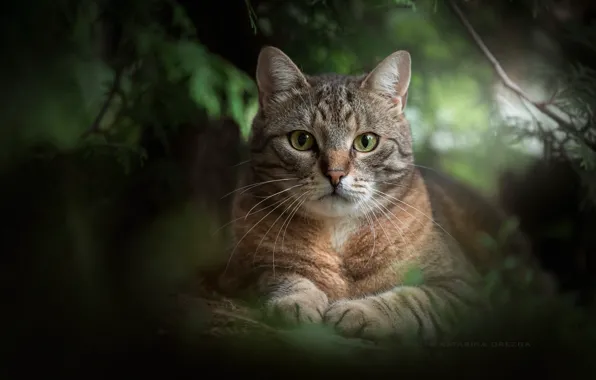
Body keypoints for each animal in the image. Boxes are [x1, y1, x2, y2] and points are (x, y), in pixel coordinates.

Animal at [219, 45, 556, 342]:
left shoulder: (463, 288)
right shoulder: (242, 271)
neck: (339, 237)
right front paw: (298, 299)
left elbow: (413, 300)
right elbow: (281, 276)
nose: (335, 174)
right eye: (301, 140)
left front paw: (362, 310)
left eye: (366, 142)